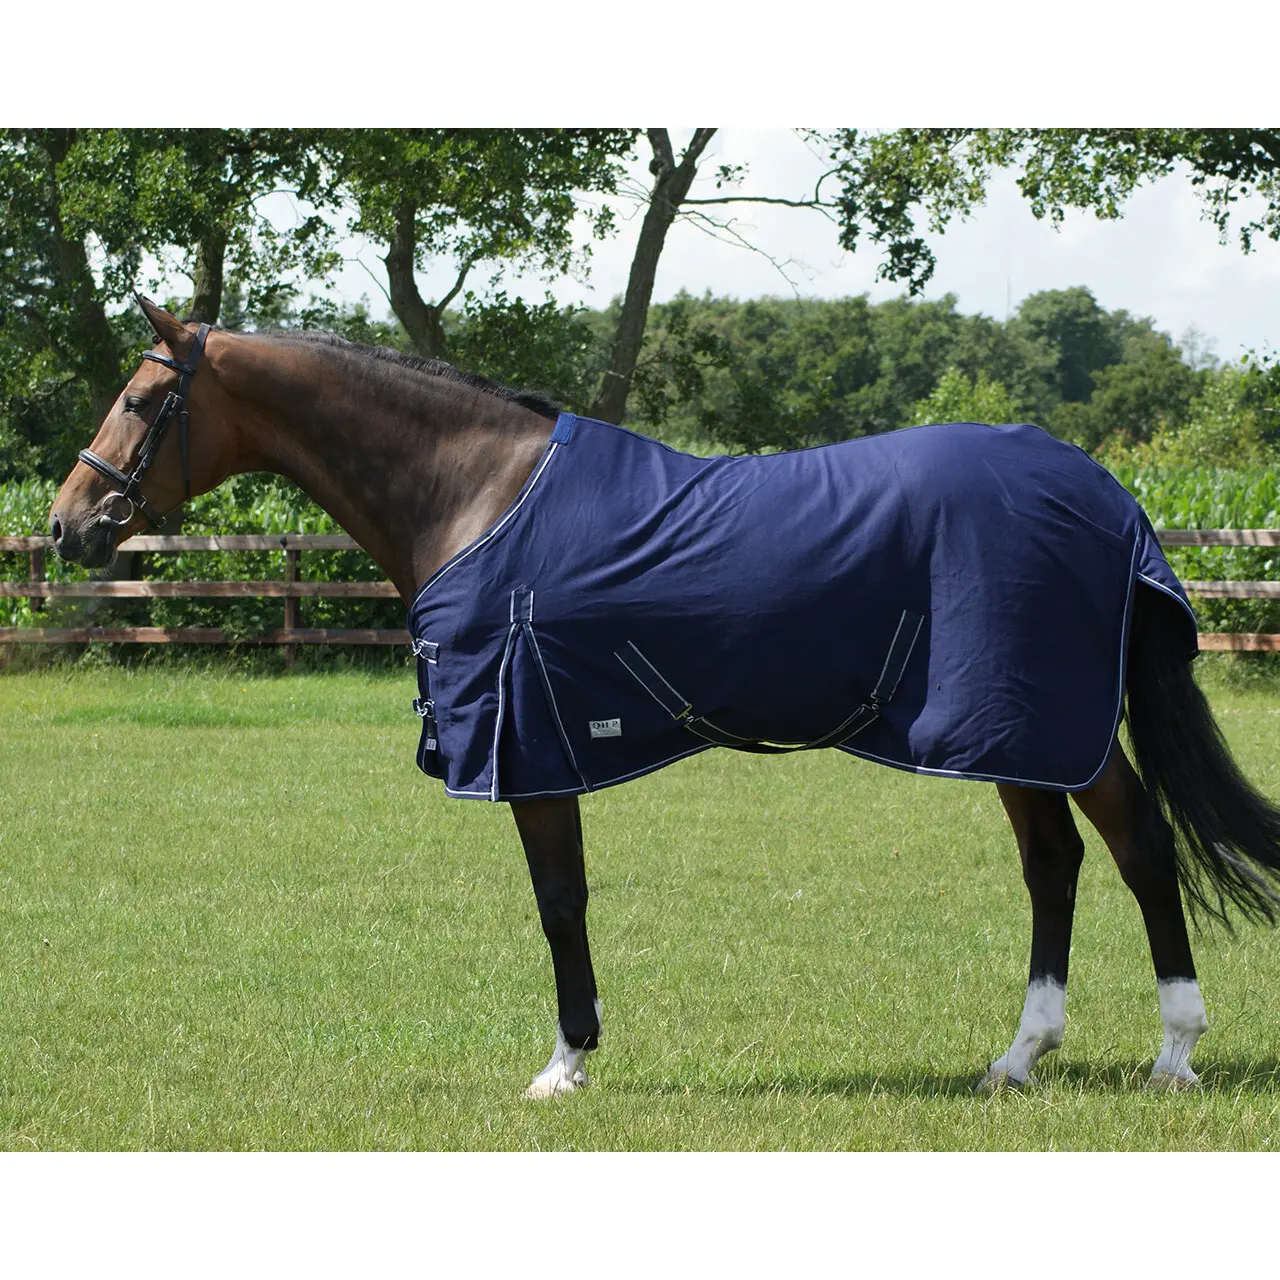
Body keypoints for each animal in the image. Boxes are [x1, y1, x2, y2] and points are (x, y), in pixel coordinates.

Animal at [50, 296, 1280, 1099]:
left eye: (141, 398)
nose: (67, 525)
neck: (477, 491)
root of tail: (1105, 493)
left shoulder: (531, 744)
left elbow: (559, 903)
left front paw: (563, 1065)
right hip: (1003, 729)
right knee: (1055, 863)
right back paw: (1018, 1057)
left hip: (1034, 720)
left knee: (1137, 846)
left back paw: (1175, 1051)